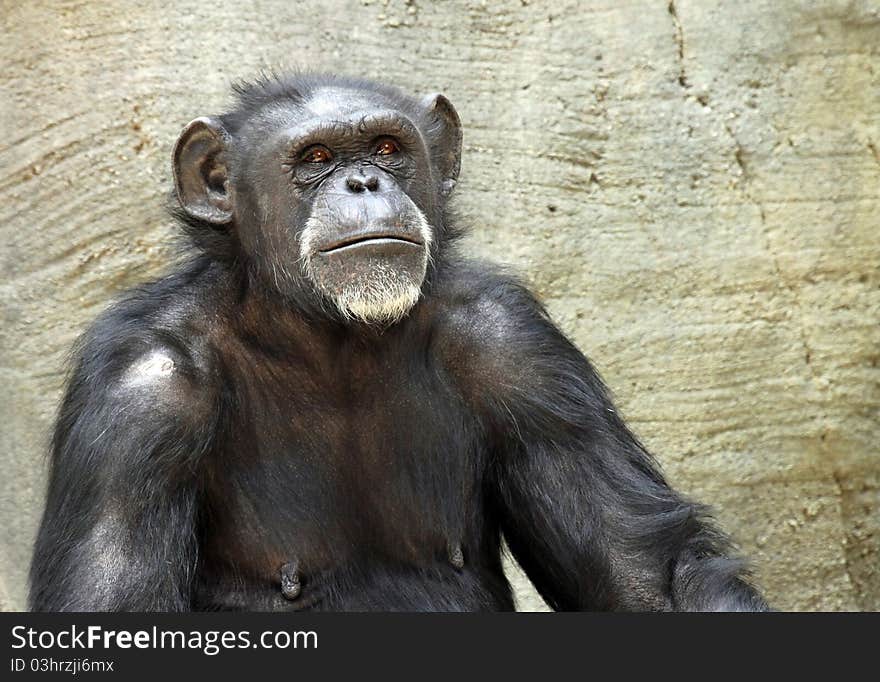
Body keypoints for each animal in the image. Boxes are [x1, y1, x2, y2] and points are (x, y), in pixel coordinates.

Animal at [31, 74, 768, 612]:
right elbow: (114, 601)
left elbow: (641, 577)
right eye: (317, 159)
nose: (365, 181)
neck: (327, 334)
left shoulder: (522, 352)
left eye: (388, 149)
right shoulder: (137, 400)